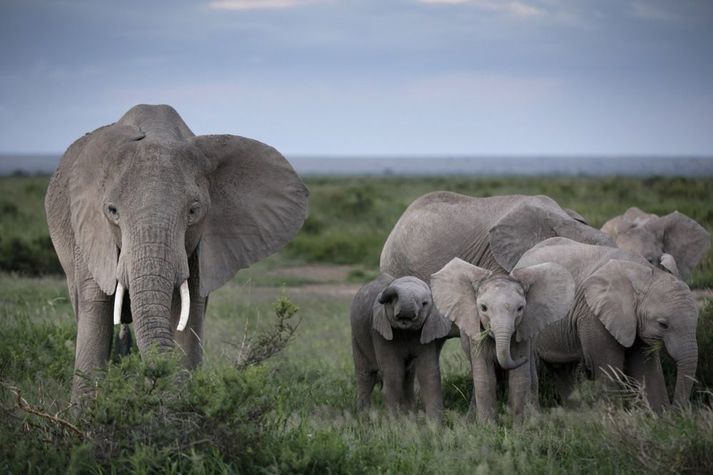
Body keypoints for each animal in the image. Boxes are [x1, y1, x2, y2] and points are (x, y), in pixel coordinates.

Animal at [44, 104, 306, 402]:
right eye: (112, 211)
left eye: (193, 211)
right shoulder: (90, 233)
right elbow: (96, 309)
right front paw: (86, 412)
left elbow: (186, 315)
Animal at [350, 274, 450, 422]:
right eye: (391, 301)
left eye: (425, 303)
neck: (406, 330)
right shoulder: (380, 333)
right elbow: (393, 374)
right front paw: (394, 424)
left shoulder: (426, 332)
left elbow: (428, 373)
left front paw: (434, 425)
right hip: (356, 336)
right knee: (366, 375)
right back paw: (365, 419)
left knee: (408, 376)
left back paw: (409, 415)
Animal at [428, 256, 572, 424]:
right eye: (483, 308)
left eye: (520, 308)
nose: (523, 358)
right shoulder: (477, 333)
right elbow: (485, 377)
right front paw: (487, 426)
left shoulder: (523, 331)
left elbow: (519, 379)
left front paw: (518, 427)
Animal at [516, 238, 700, 412]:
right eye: (663, 324)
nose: (679, 411)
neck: (646, 273)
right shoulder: (593, 316)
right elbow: (608, 367)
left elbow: (646, 370)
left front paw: (661, 417)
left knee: (562, 369)